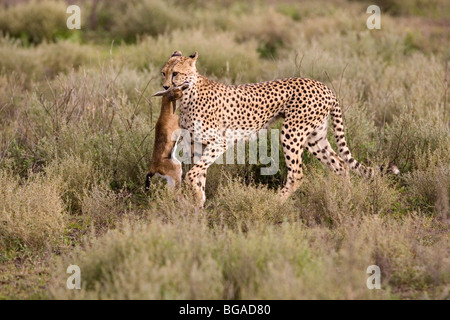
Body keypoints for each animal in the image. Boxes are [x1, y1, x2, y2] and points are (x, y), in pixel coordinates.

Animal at [159, 50, 398, 205]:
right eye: (163, 72)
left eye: (175, 73)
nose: (165, 86)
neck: (188, 92)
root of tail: (323, 86)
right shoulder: (197, 144)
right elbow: (199, 175)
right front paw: (198, 205)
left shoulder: (220, 141)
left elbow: (194, 173)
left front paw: (197, 200)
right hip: (315, 138)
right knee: (341, 165)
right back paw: (347, 199)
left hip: (291, 133)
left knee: (297, 174)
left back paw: (275, 203)